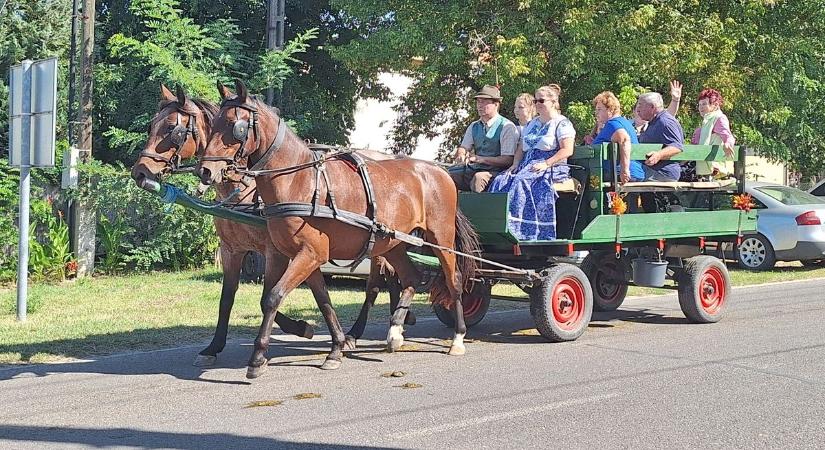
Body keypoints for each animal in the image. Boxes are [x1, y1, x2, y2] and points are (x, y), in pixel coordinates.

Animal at [133, 83, 412, 366]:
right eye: (152, 125)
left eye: (173, 129)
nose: (140, 172)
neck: (247, 190)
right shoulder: (233, 250)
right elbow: (227, 299)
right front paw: (213, 347)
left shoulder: (274, 251)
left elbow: (267, 297)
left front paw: (301, 328)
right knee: (392, 279)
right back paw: (396, 321)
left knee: (375, 284)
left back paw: (370, 330)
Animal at [197, 79, 480, 378]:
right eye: (213, 123)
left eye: (235, 126)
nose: (205, 171)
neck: (299, 181)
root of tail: (440, 171)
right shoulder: (298, 255)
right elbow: (321, 301)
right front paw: (336, 348)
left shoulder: (308, 254)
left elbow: (273, 298)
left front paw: (257, 358)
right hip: (392, 243)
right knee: (411, 277)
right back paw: (395, 332)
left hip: (441, 239)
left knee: (454, 280)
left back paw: (458, 338)